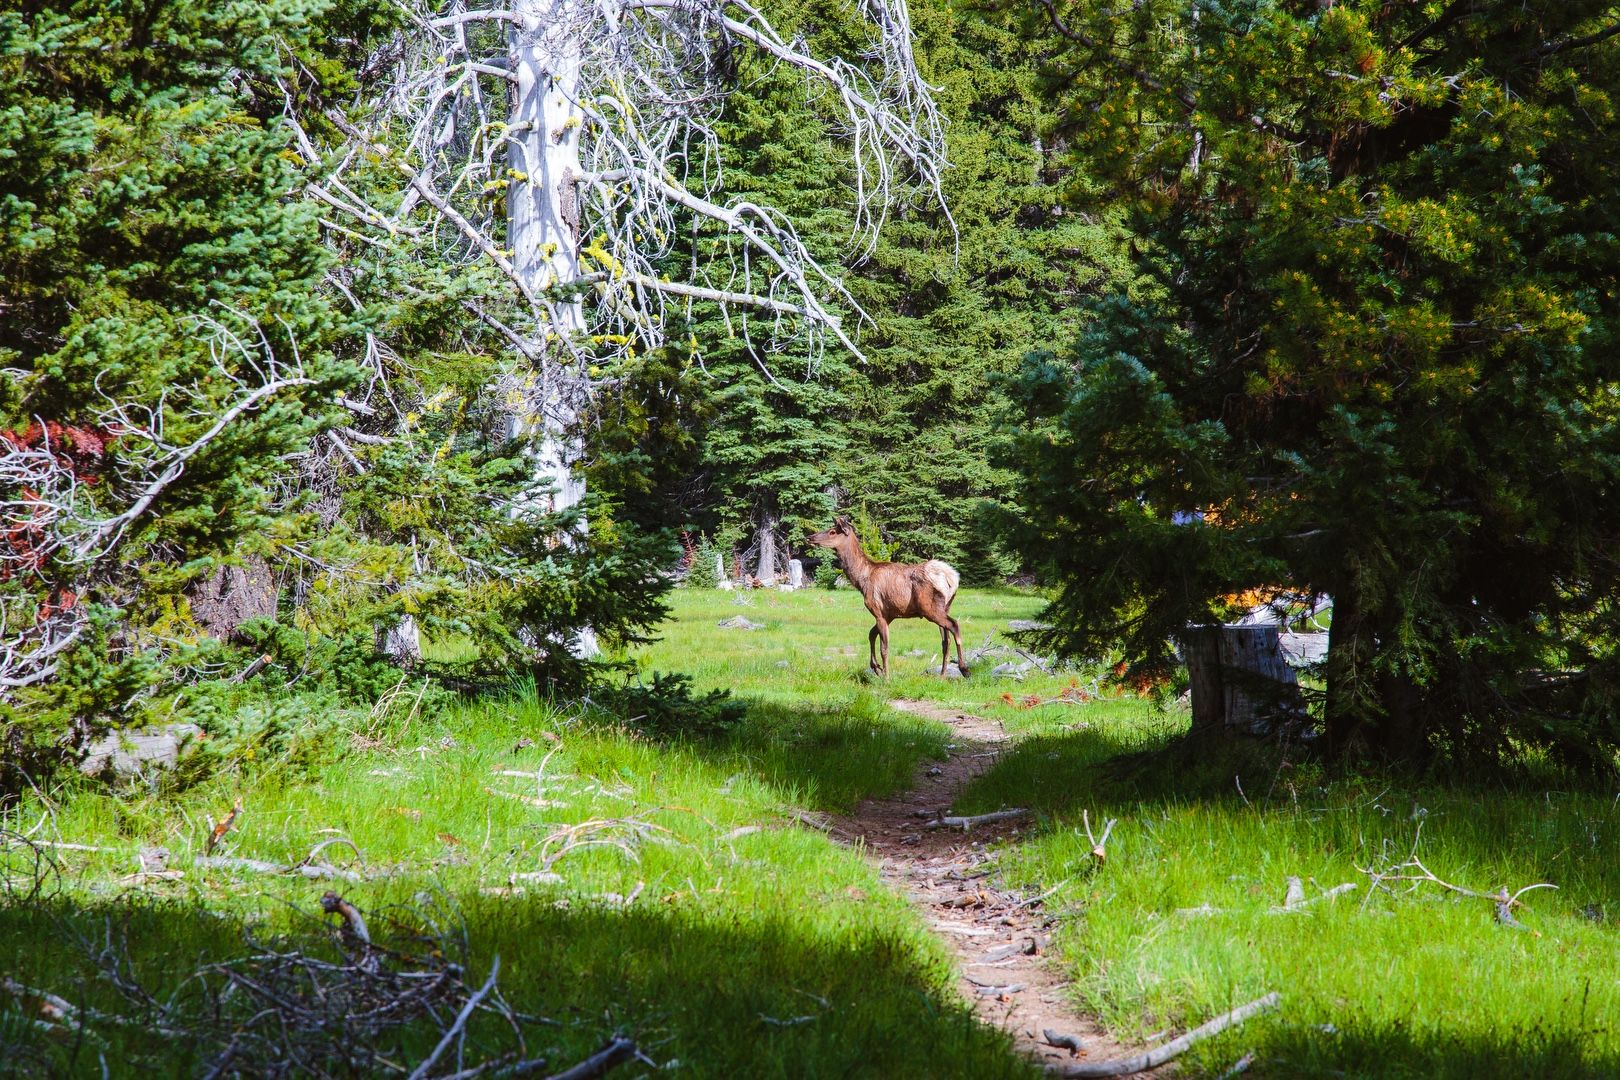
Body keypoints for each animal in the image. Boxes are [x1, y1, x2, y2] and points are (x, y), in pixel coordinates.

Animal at [806, 514, 965, 676]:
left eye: (832, 531)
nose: (809, 537)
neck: (862, 581)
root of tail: (952, 578)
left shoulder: (877, 610)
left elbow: (884, 648)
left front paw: (886, 676)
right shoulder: (889, 614)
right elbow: (871, 634)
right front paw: (876, 667)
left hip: (929, 608)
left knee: (954, 625)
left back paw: (964, 668)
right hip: (945, 607)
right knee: (946, 640)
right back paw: (943, 675)